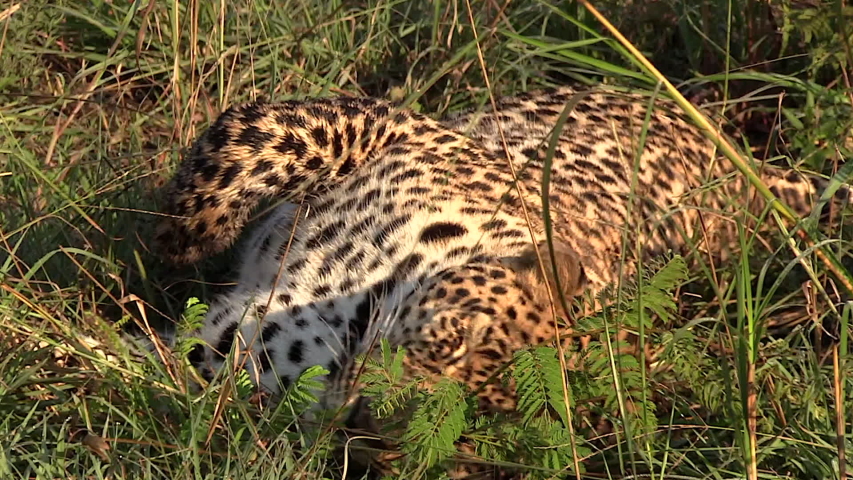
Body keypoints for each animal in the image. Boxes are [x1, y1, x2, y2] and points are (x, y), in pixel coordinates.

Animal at [152, 85, 850, 475]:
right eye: (453, 337)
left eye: (480, 416)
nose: (368, 427)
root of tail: (748, 167)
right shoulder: (394, 130)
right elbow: (266, 136)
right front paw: (183, 236)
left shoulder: (251, 358)